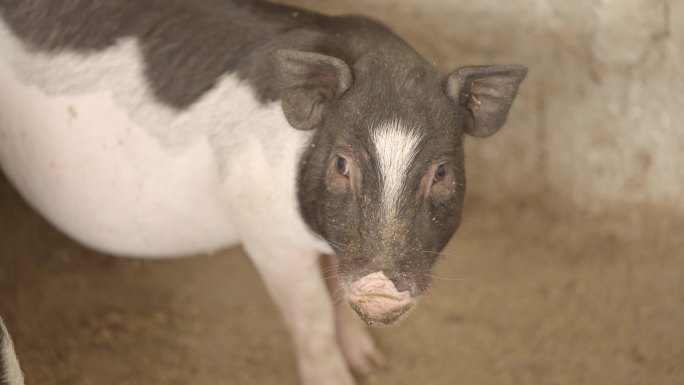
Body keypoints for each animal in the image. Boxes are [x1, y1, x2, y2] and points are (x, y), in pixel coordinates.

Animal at [0, 1, 528, 382]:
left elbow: (335, 292)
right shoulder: (267, 234)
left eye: (440, 171)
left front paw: (372, 365)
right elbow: (313, 318)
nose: (379, 284)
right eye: (341, 163)